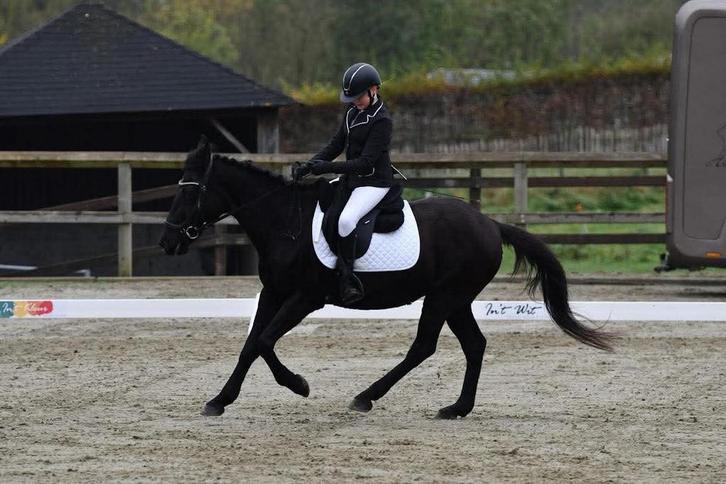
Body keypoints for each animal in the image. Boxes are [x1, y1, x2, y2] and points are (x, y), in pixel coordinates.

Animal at [159, 137, 613, 419]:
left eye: (189, 191)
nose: (167, 242)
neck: (285, 223)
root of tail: (489, 224)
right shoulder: (273, 292)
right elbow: (251, 344)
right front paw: (219, 401)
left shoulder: (305, 297)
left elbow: (266, 341)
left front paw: (299, 385)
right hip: (456, 299)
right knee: (474, 345)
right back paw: (456, 408)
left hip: (445, 295)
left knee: (424, 346)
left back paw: (366, 397)